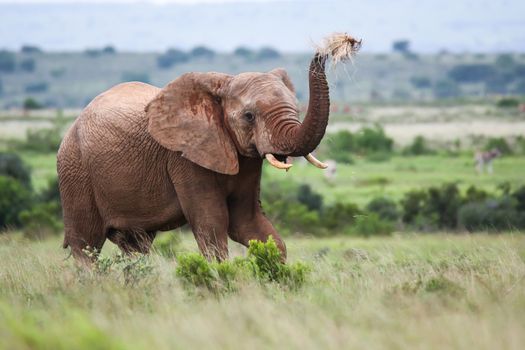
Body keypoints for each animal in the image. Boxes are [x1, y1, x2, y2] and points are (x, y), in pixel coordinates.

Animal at [57, 53, 332, 264]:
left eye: (296, 108)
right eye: (249, 116)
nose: (324, 52)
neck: (222, 85)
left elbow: (249, 222)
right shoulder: (184, 157)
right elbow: (213, 224)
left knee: (135, 246)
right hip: (75, 171)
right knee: (86, 245)